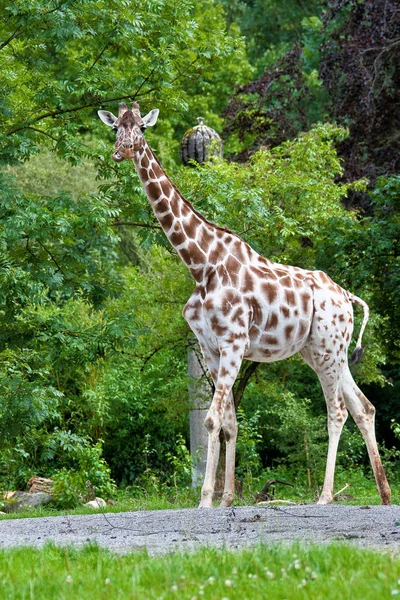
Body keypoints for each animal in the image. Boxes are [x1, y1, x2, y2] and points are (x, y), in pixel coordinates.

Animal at [97, 102, 390, 506]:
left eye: (141, 127)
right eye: (116, 129)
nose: (122, 150)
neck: (200, 264)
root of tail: (347, 297)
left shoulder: (234, 342)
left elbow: (211, 420)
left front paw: (205, 499)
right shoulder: (210, 348)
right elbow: (229, 423)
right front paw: (225, 499)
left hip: (329, 349)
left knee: (337, 411)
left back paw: (326, 496)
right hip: (323, 350)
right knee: (364, 407)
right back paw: (385, 494)